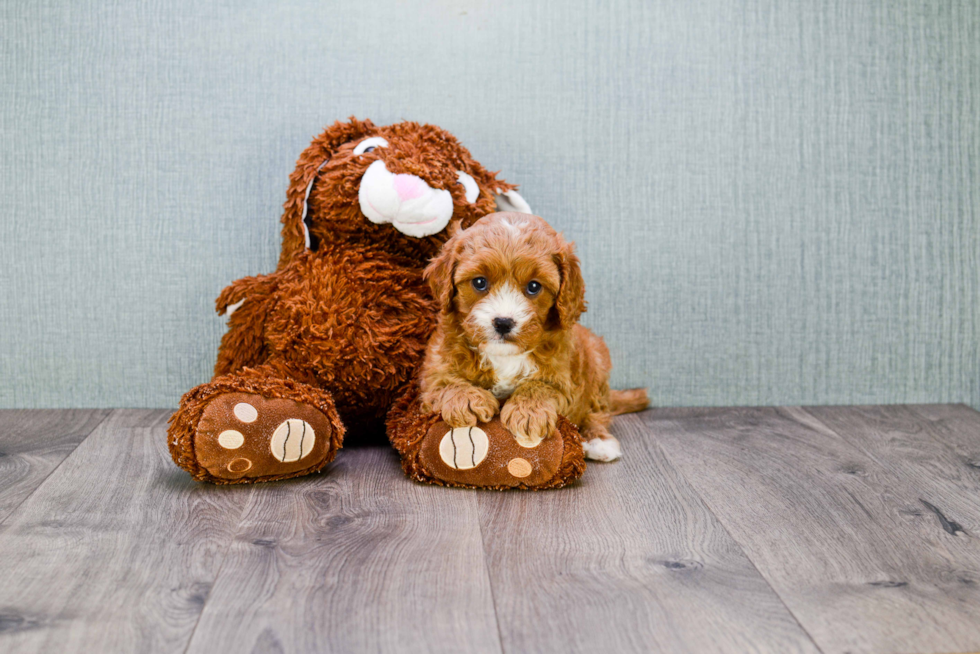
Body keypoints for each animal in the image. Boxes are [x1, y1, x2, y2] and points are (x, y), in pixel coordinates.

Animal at [418, 210, 648, 462]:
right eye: (479, 282)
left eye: (534, 287)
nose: (503, 322)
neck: (504, 356)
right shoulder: (434, 369)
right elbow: (445, 382)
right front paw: (467, 399)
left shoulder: (564, 379)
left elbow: (542, 386)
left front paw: (528, 411)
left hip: (596, 362)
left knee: (597, 411)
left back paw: (598, 440)